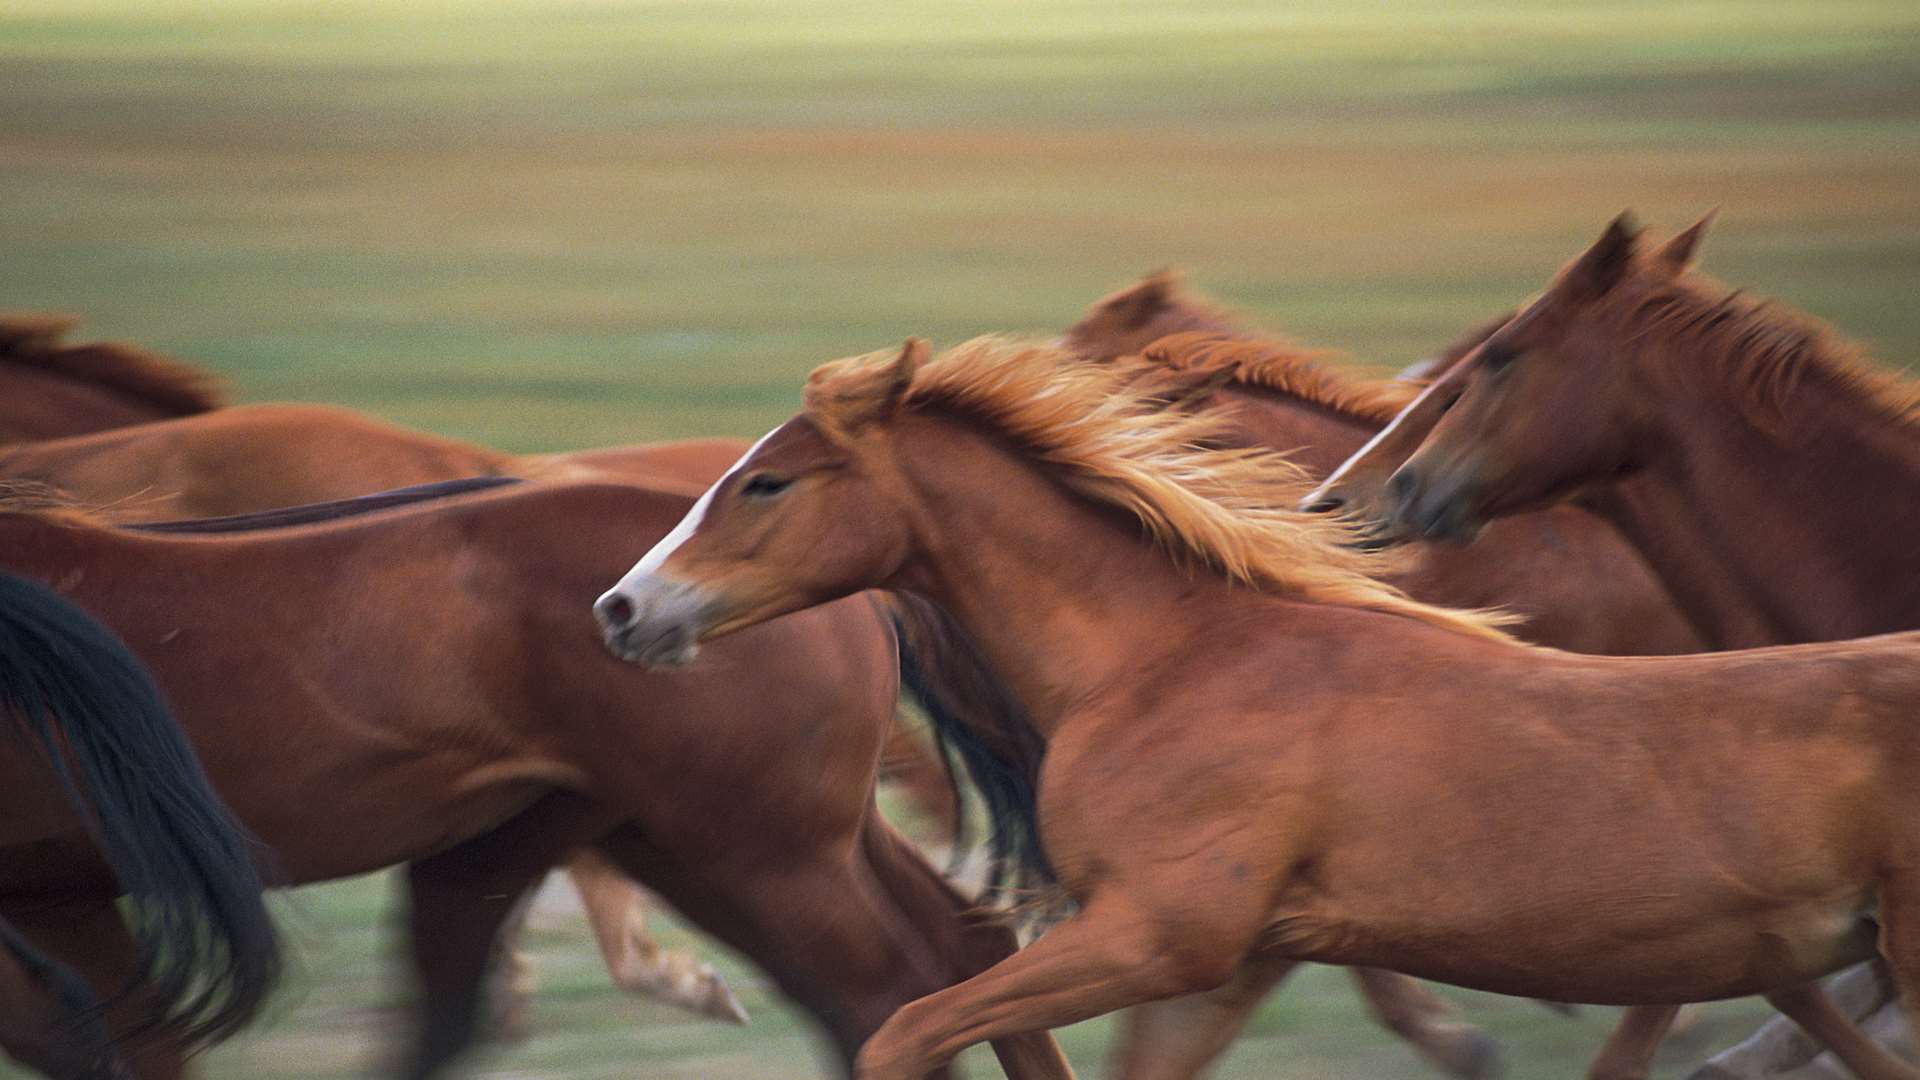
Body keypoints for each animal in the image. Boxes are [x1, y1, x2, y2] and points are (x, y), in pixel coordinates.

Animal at [591, 340, 1920, 1076]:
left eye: (766, 481)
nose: (620, 607)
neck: (1173, 660)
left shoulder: (1158, 936)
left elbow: (905, 1032)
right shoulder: (1224, 967)